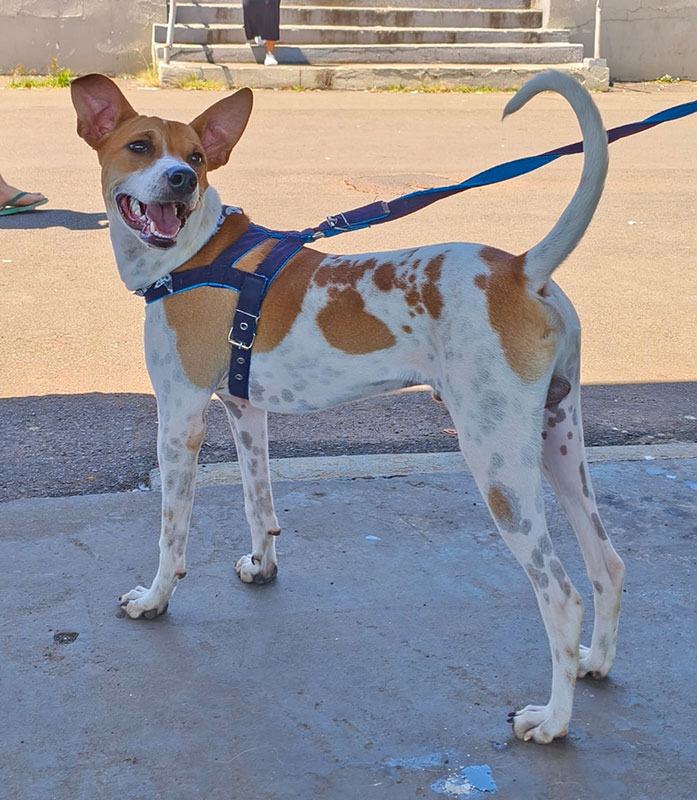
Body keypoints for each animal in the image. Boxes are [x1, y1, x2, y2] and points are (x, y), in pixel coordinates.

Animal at [71, 70, 625, 744]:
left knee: (562, 596)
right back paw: (595, 662)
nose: (180, 180)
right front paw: (263, 566)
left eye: (196, 158)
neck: (194, 253)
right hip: (558, 441)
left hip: (500, 467)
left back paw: (552, 721)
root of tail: (521, 270)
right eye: (140, 146)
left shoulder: (180, 417)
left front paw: (155, 599)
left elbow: (170, 532)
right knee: (608, 563)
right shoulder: (243, 410)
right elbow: (259, 503)